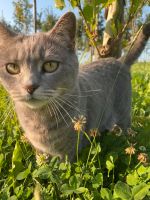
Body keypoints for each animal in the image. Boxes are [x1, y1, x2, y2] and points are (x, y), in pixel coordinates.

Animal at [0, 12, 149, 160]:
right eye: (12, 67)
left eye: (50, 65)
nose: (30, 86)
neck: (39, 119)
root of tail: (119, 60)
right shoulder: (40, 150)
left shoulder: (69, 150)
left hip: (123, 114)